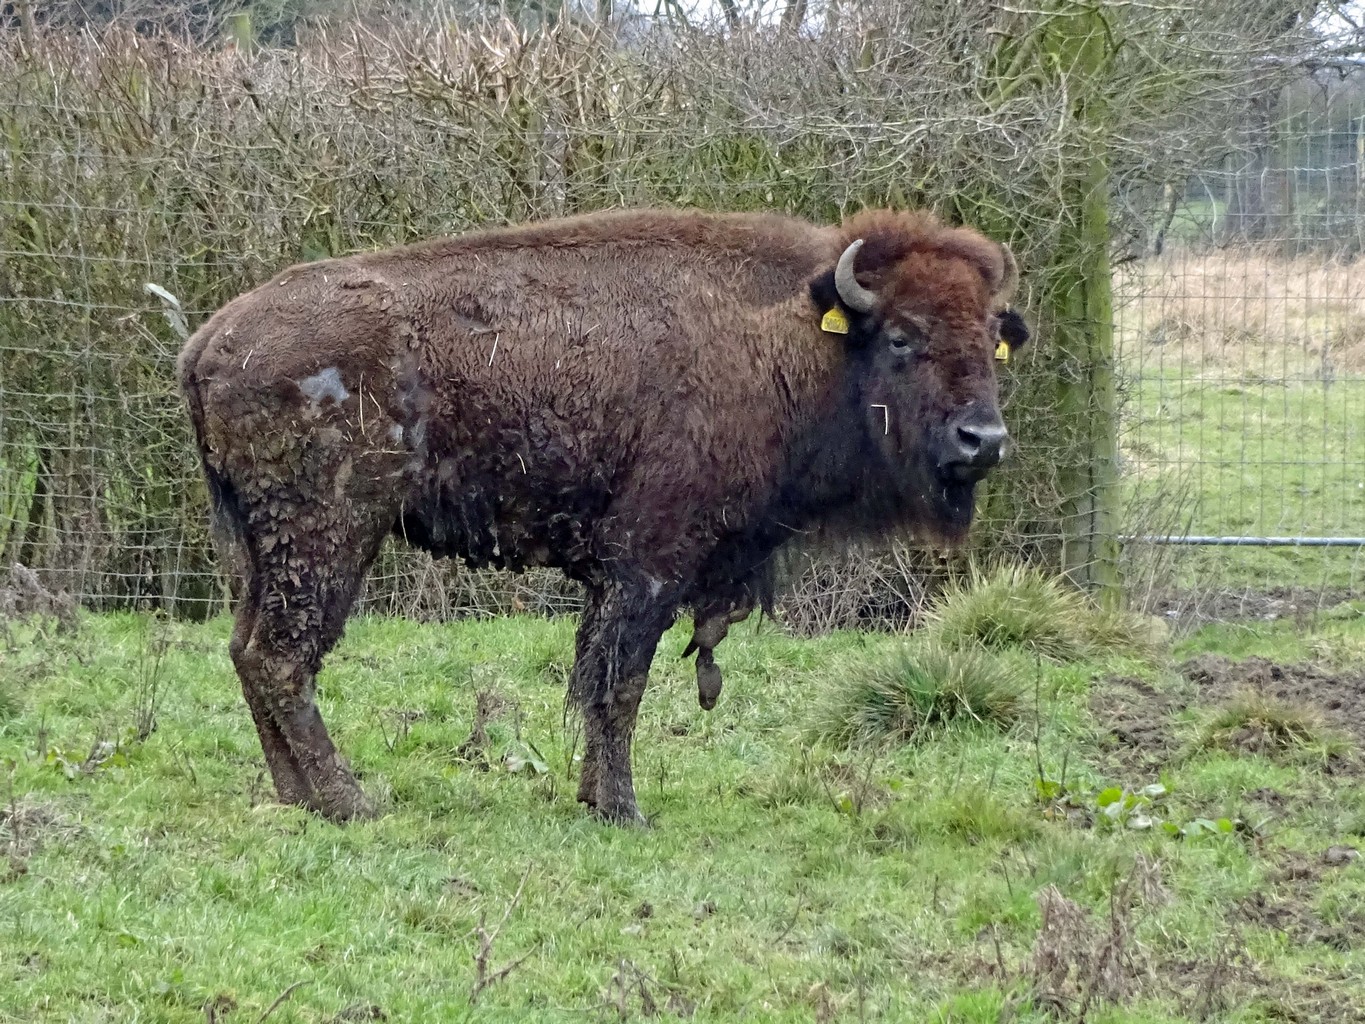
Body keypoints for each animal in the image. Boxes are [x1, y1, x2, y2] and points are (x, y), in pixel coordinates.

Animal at [177, 206, 1031, 825]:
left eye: (992, 336)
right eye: (901, 335)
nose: (982, 440)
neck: (795, 334)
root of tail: (211, 339)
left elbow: (596, 678)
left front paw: (593, 796)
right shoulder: (648, 564)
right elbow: (620, 684)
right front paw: (622, 809)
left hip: (259, 547)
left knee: (248, 650)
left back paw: (297, 796)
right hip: (328, 535)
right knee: (283, 655)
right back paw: (348, 801)